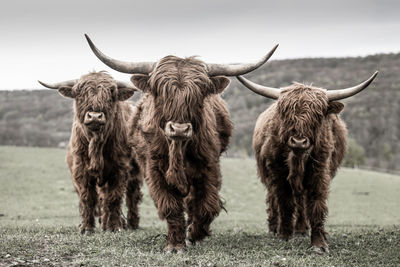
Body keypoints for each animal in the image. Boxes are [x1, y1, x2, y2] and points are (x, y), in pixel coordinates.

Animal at [38, 71, 142, 234]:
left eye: (111, 95)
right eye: (80, 95)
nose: (94, 116)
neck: (96, 145)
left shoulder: (119, 169)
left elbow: (114, 197)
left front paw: (114, 227)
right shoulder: (81, 170)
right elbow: (88, 198)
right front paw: (87, 228)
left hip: (135, 172)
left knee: (132, 195)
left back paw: (131, 224)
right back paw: (105, 224)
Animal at [85, 34, 278, 253]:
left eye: (198, 94)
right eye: (161, 92)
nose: (179, 129)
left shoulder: (209, 167)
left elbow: (206, 205)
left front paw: (196, 234)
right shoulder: (154, 170)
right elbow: (171, 206)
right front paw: (175, 245)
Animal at [238, 72, 378, 254]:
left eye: (317, 115)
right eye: (286, 113)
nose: (299, 142)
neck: (297, 158)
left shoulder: (319, 170)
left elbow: (316, 203)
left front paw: (318, 244)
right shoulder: (277, 172)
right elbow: (284, 201)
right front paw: (284, 235)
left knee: (301, 201)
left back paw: (301, 229)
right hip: (267, 176)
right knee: (273, 198)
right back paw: (274, 228)